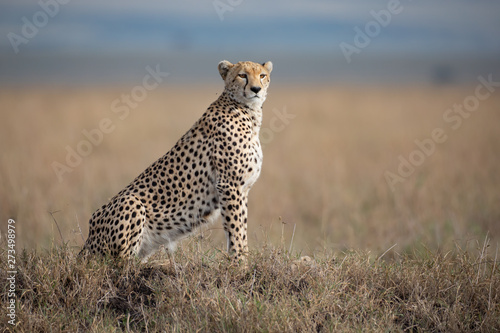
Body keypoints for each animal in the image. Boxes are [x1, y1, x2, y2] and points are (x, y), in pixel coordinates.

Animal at [80, 59, 274, 262]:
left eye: (262, 75)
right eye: (242, 75)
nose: (256, 89)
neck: (249, 113)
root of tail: (86, 242)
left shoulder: (242, 189)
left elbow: (240, 228)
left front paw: (241, 260)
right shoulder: (230, 185)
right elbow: (236, 230)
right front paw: (239, 263)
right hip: (130, 203)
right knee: (118, 263)